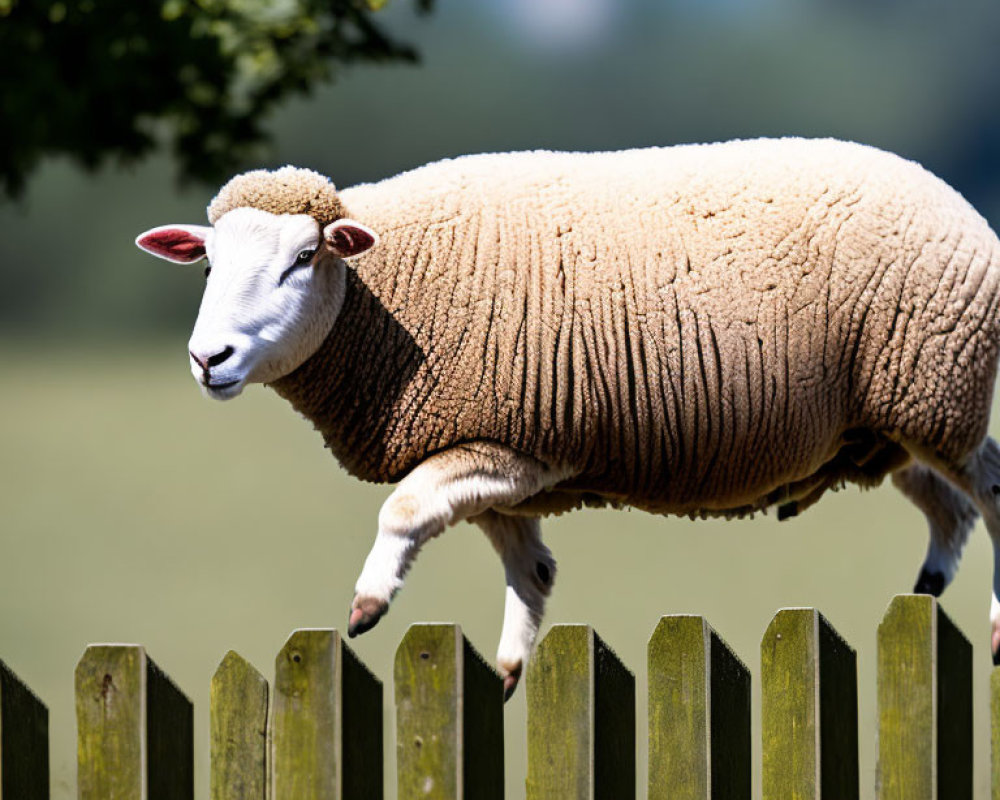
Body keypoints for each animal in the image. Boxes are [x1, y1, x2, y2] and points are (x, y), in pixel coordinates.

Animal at [135, 139, 1000, 700]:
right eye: (208, 265)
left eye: (302, 260)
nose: (207, 358)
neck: (381, 296)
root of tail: (958, 198)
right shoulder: (495, 450)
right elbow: (531, 567)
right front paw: (511, 667)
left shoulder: (520, 444)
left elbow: (404, 510)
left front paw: (369, 603)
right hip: (893, 417)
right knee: (947, 502)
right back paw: (929, 583)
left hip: (935, 388)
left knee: (989, 494)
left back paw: (991, 622)